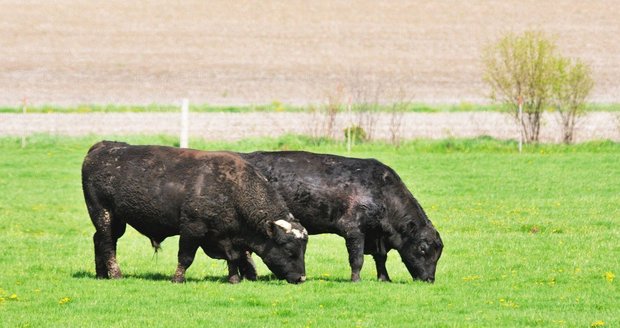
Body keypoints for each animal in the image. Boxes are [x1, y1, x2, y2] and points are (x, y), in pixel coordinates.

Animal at [80, 142, 308, 284]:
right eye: (289, 250)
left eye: (303, 250)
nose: (301, 278)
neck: (232, 188)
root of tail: (102, 147)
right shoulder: (192, 229)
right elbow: (186, 257)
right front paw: (177, 279)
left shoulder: (227, 237)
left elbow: (233, 257)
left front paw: (234, 279)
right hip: (103, 214)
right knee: (107, 244)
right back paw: (116, 274)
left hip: (116, 221)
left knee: (100, 240)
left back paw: (101, 275)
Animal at [240, 151, 444, 282]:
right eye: (423, 248)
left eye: (438, 254)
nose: (429, 279)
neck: (381, 192)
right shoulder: (354, 231)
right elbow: (357, 259)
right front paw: (356, 280)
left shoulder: (377, 236)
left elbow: (380, 258)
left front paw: (384, 279)